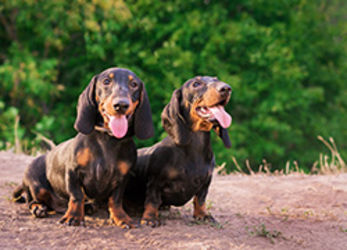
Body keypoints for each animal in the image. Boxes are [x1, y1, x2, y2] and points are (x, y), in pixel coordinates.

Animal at [12, 67, 154, 228]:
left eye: (134, 84)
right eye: (106, 81)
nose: (121, 105)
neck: (108, 139)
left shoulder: (123, 178)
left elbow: (116, 200)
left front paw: (121, 217)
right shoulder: (73, 172)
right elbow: (76, 195)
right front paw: (73, 217)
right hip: (36, 186)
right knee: (32, 201)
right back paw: (39, 208)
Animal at [123, 75, 232, 227]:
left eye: (216, 79)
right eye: (196, 84)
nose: (226, 88)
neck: (194, 149)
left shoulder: (205, 183)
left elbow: (200, 200)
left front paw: (202, 215)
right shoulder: (155, 182)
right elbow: (152, 200)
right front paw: (150, 218)